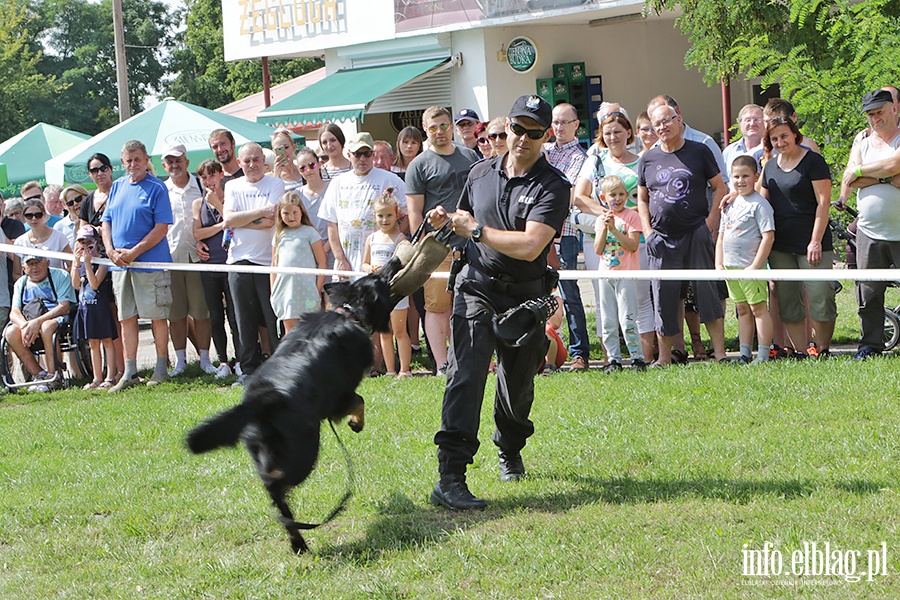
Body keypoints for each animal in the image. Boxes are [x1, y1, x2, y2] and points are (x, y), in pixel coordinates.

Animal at [187, 258, 400, 552]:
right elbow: (359, 401)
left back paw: (297, 540)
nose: (395, 260)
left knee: (278, 499)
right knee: (277, 486)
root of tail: (264, 398)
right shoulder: (340, 398)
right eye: (378, 277)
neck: (348, 313)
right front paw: (356, 422)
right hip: (305, 452)